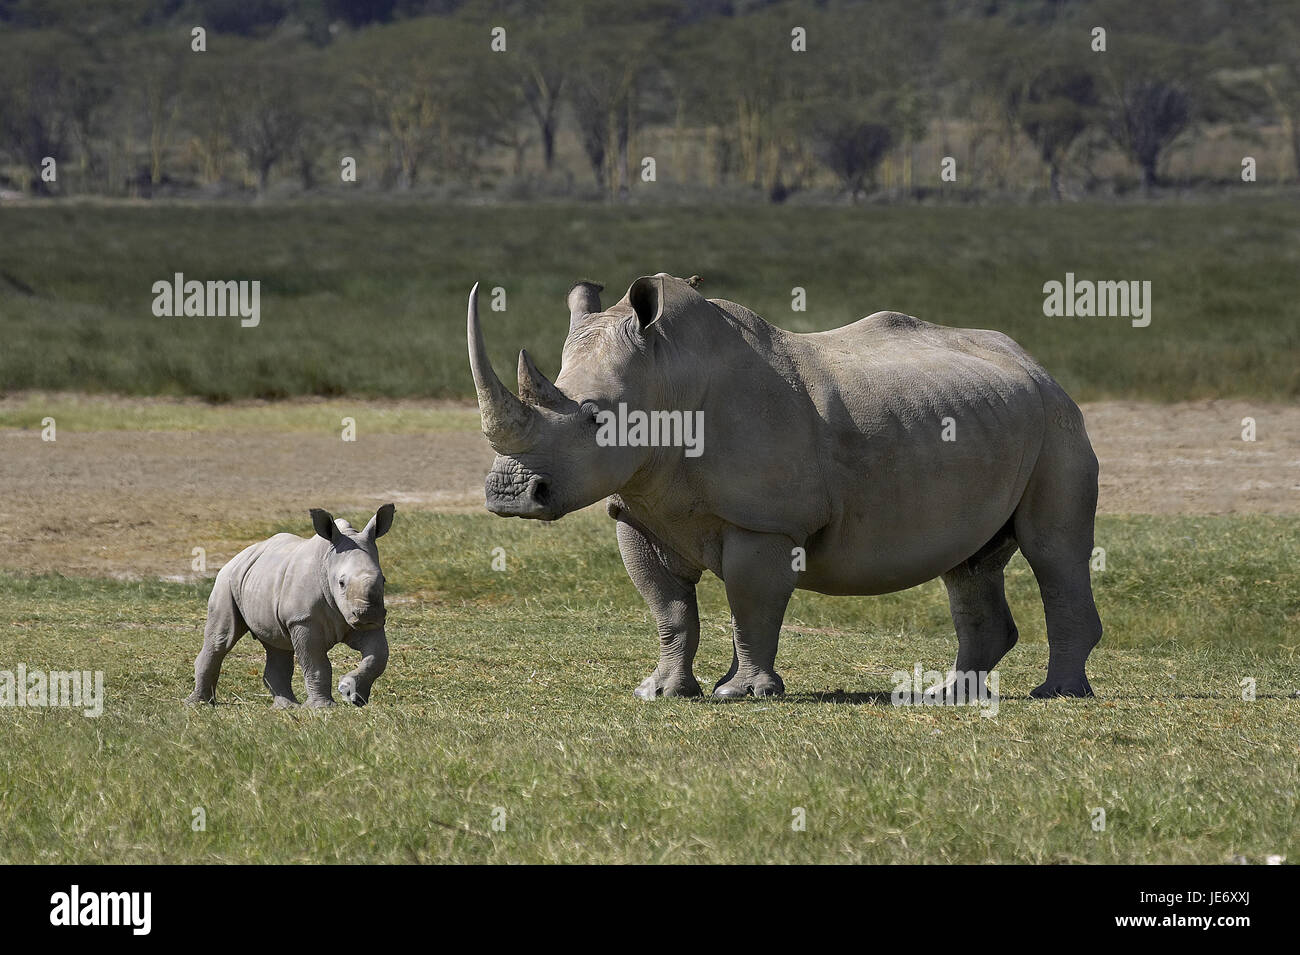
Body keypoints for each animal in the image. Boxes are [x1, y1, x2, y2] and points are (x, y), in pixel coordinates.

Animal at [185, 509, 392, 712]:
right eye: (341, 583)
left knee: (277, 646)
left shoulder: (362, 618)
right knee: (221, 639)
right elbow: (316, 664)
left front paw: (352, 694)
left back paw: (286, 707)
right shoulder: (302, 619)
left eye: (383, 580)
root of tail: (238, 556)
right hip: (226, 581)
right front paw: (322, 708)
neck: (327, 561)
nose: (367, 615)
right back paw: (198, 704)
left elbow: (378, 656)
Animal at [473, 276, 1102, 701]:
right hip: (992, 416)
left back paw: (1057, 694)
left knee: (1053, 551)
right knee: (970, 564)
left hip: (1057, 423)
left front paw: (742, 693)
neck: (666, 376)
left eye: (595, 418)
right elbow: (670, 607)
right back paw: (948, 696)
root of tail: (1035, 364)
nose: (508, 494)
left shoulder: (765, 521)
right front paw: (662, 691)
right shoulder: (637, 508)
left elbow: (752, 601)